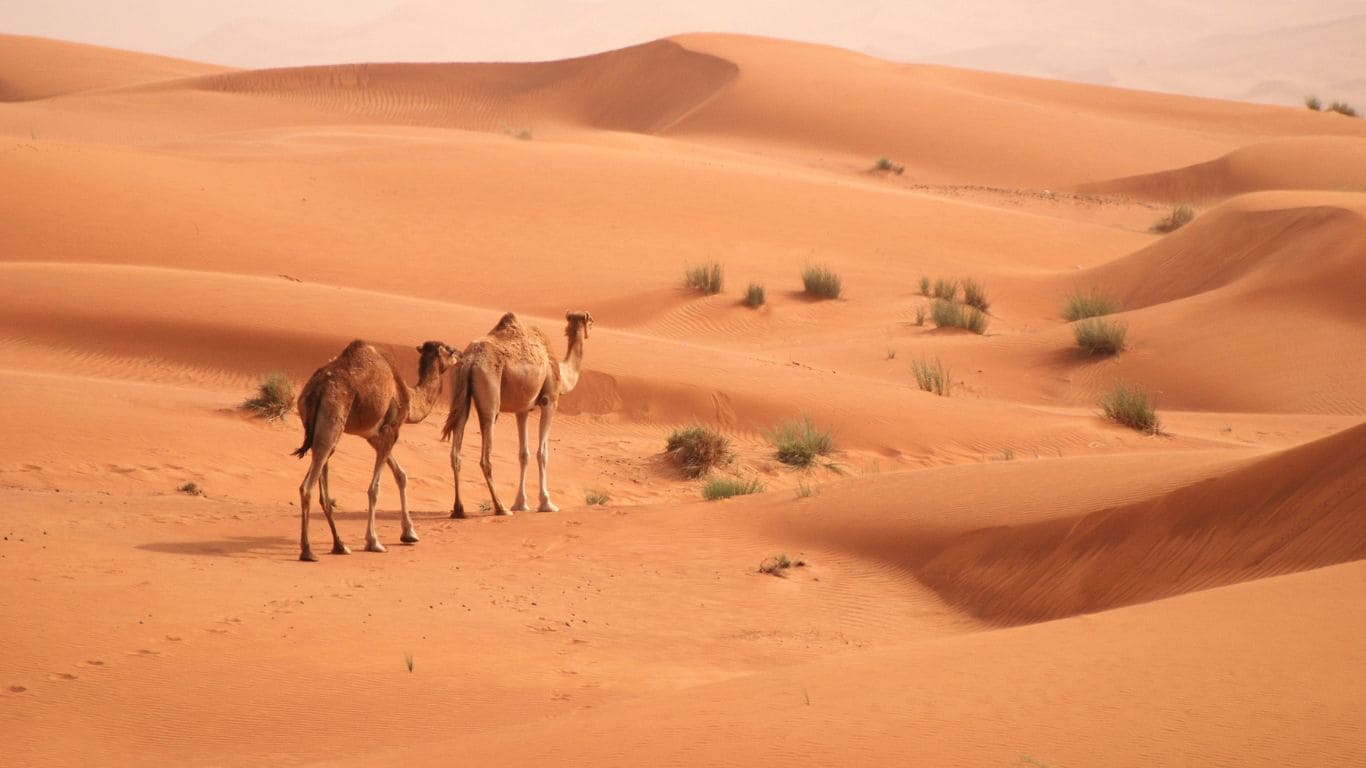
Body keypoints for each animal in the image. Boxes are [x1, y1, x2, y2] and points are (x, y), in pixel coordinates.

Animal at [290, 337, 456, 560]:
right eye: (449, 349)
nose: (459, 354)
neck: (409, 397)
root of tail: (316, 390)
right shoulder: (391, 430)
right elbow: (374, 488)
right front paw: (374, 541)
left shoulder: (374, 436)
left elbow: (401, 475)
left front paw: (409, 533)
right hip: (332, 421)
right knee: (307, 486)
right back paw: (308, 551)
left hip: (320, 428)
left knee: (322, 484)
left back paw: (340, 545)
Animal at [442, 308, 592, 513]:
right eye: (591, 321)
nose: (590, 330)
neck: (562, 374)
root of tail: (469, 361)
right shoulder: (550, 400)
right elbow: (542, 453)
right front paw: (547, 503)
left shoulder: (522, 410)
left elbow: (524, 454)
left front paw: (521, 503)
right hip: (490, 397)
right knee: (485, 454)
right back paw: (501, 508)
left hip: (459, 393)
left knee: (456, 450)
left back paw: (459, 509)